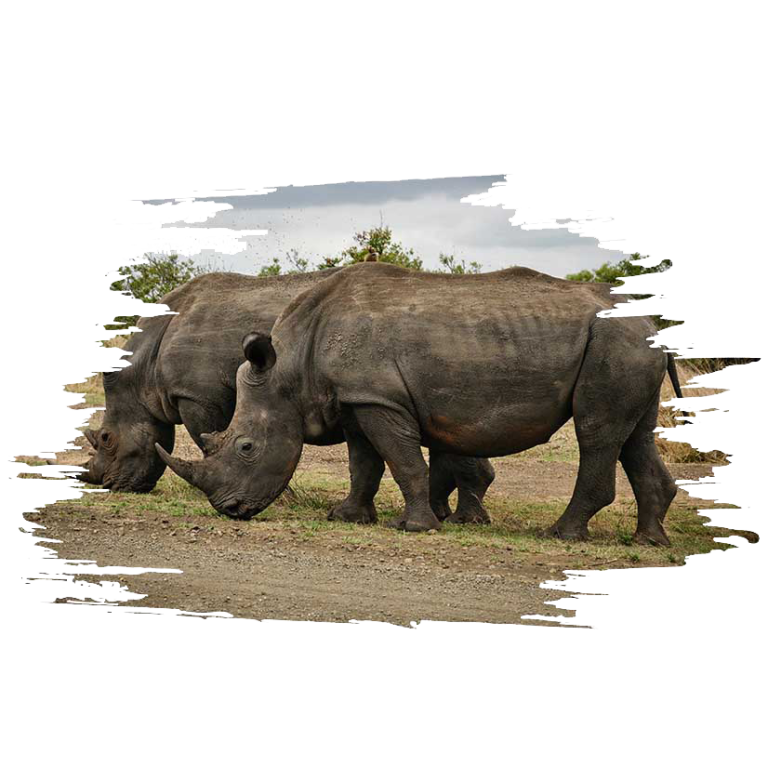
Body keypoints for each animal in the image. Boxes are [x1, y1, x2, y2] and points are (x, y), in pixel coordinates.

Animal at [78, 269, 495, 524]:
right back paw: (453, 515)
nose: (104, 483)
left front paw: (284, 496)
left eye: (106, 439)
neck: (143, 370)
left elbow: (208, 438)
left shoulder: (197, 395)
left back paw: (458, 518)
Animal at [157, 262, 685, 545]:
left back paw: (561, 535)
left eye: (245, 447)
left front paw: (415, 528)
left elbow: (401, 460)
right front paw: (347, 517)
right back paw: (648, 540)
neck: (290, 367)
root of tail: (651, 326)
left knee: (596, 431)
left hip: (615, 342)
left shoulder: (379, 399)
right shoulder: (358, 398)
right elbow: (363, 463)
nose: (229, 509)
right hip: (629, 344)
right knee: (633, 435)